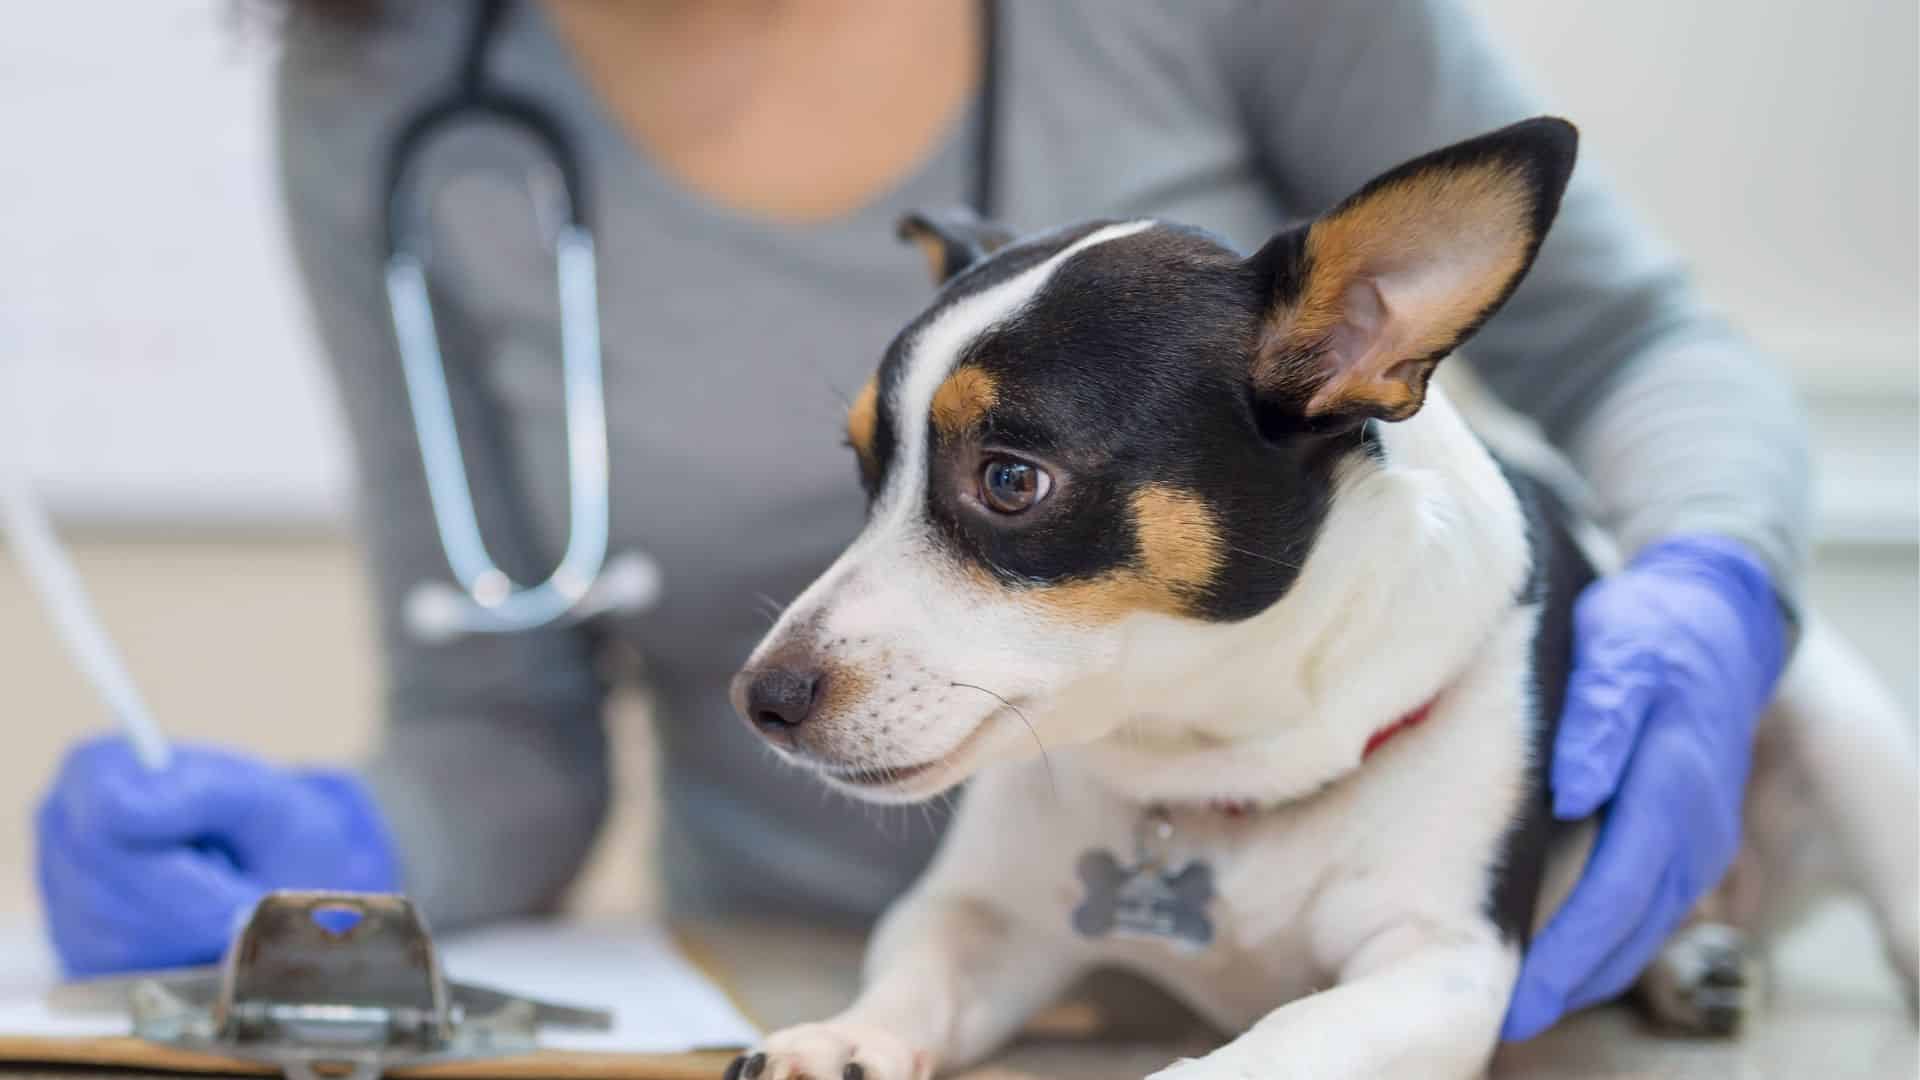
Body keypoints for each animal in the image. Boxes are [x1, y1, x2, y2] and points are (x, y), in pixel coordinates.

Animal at [721, 119, 1920, 1076]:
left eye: (1011, 480)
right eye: (863, 468)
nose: (762, 700)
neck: (1213, 761)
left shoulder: (1440, 966)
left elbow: (1279, 1044)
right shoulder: (984, 918)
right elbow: (916, 975)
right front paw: (839, 1039)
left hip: (1833, 720)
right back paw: (1689, 959)